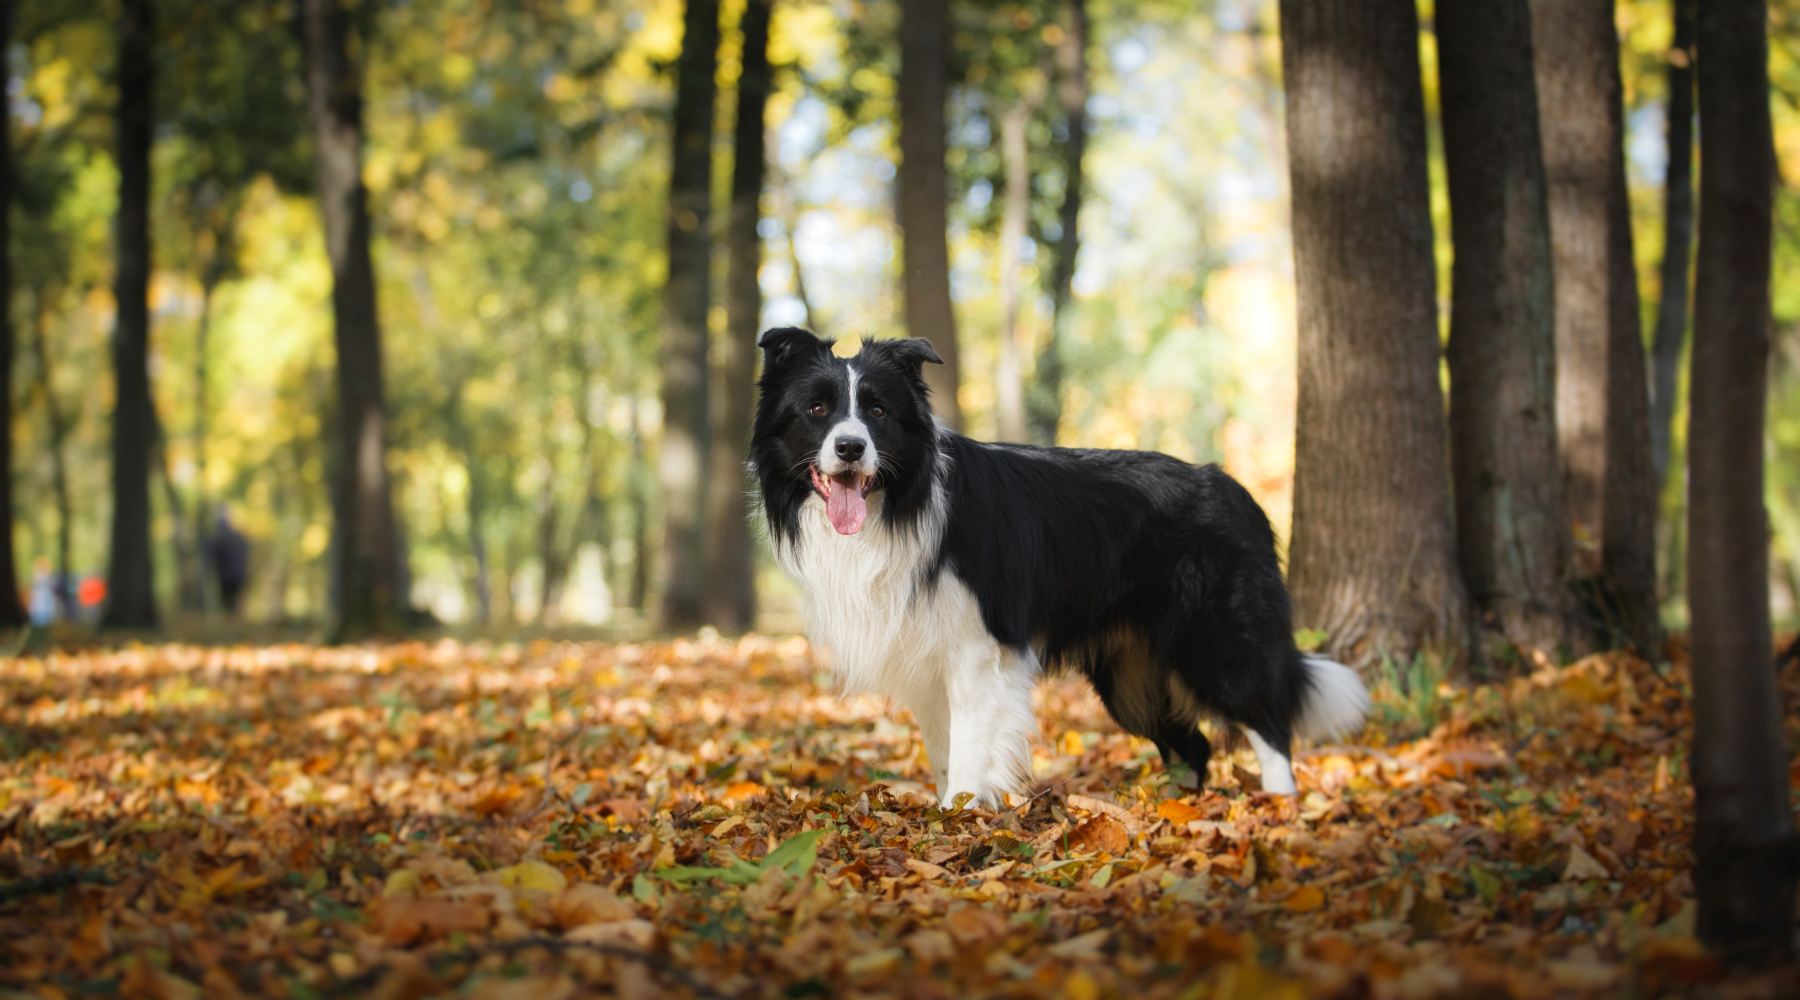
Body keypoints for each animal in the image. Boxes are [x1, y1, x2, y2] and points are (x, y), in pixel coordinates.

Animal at [748, 332, 1360, 809]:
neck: (900, 504)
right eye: (818, 410)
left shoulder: (977, 650)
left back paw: (1279, 809)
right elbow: (944, 751)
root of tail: (1234, 488)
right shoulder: (925, 657)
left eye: (877, 412)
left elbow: (968, 752)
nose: (851, 449)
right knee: (1194, 746)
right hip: (1130, 677)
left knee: (1270, 725)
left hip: (1215, 641)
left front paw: (958, 819)